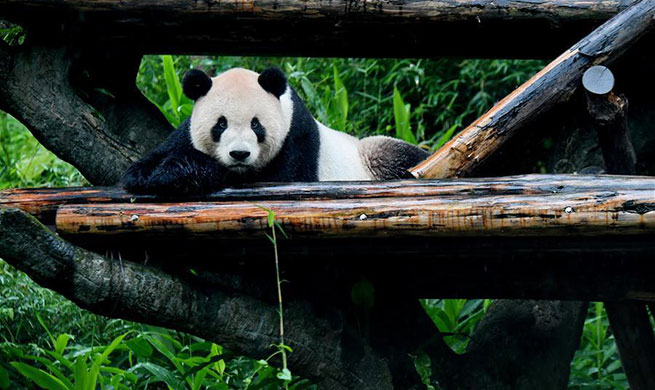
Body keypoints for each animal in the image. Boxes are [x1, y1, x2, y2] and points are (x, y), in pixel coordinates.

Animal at [123, 68, 430, 194]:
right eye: (220, 124)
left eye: (256, 124)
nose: (239, 154)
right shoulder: (185, 132)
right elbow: (145, 163)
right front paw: (152, 172)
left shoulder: (296, 141)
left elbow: (278, 178)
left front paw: (176, 173)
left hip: (372, 155)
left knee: (398, 156)